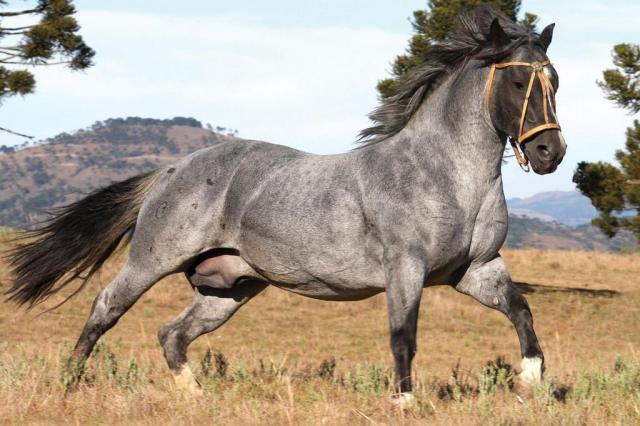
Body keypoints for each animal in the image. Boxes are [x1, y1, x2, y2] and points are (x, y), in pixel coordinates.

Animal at [6, 8, 564, 404]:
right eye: (519, 82)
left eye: (554, 80)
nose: (549, 153)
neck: (446, 176)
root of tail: (171, 170)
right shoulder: (405, 269)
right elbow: (403, 337)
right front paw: (403, 404)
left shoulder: (475, 269)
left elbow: (522, 312)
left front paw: (530, 383)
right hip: (153, 259)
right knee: (106, 307)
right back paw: (68, 384)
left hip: (229, 287)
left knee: (173, 334)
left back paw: (198, 398)